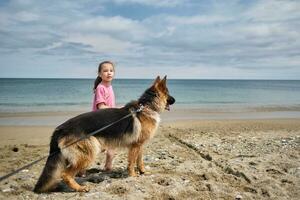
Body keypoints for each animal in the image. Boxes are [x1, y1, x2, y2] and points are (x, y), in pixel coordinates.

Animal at [34, 76, 176, 193]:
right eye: (168, 93)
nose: (175, 100)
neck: (147, 106)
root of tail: (60, 128)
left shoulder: (140, 145)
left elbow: (140, 160)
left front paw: (143, 172)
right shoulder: (135, 146)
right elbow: (132, 162)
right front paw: (133, 175)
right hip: (89, 152)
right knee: (65, 174)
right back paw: (80, 188)